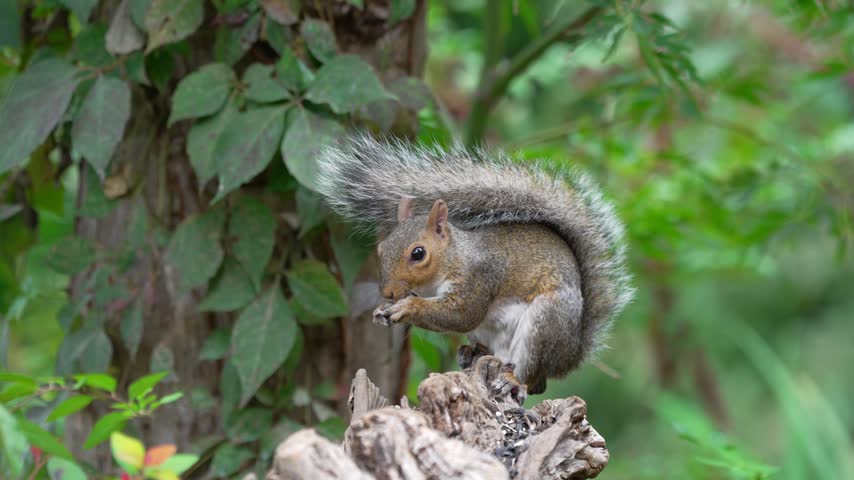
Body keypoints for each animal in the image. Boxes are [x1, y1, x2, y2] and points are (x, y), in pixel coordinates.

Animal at [316, 134, 633, 394]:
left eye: (418, 253)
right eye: (381, 249)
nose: (389, 293)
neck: (455, 258)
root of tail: (571, 356)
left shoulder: (480, 276)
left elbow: (462, 314)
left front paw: (407, 308)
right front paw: (382, 310)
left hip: (546, 324)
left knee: (532, 378)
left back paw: (513, 379)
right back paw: (471, 352)